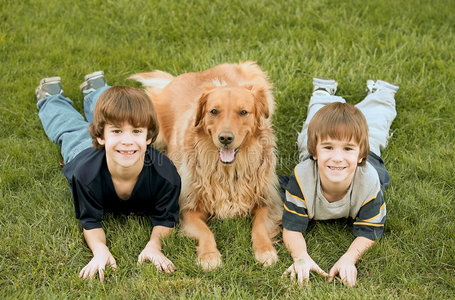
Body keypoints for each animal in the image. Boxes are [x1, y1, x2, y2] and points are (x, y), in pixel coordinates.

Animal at [130, 62, 284, 270]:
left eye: (243, 112)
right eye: (214, 111)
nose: (225, 138)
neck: (229, 170)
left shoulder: (268, 200)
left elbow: (259, 226)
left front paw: (265, 250)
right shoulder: (188, 206)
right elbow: (205, 231)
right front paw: (209, 255)